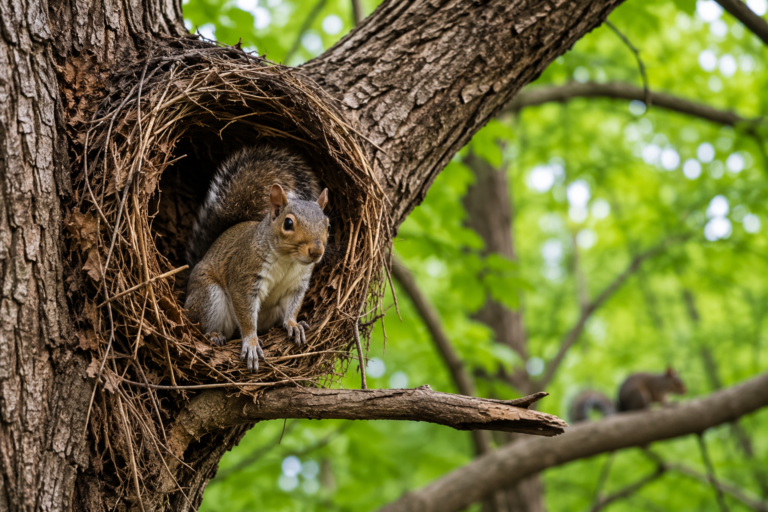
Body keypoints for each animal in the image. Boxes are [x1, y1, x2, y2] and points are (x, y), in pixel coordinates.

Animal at [184, 145, 330, 373]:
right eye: (288, 223)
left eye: (327, 224)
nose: (316, 251)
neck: (287, 261)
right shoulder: (245, 276)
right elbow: (245, 315)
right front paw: (251, 343)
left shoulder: (297, 284)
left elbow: (293, 306)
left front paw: (294, 324)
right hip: (208, 297)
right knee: (200, 324)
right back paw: (214, 335)